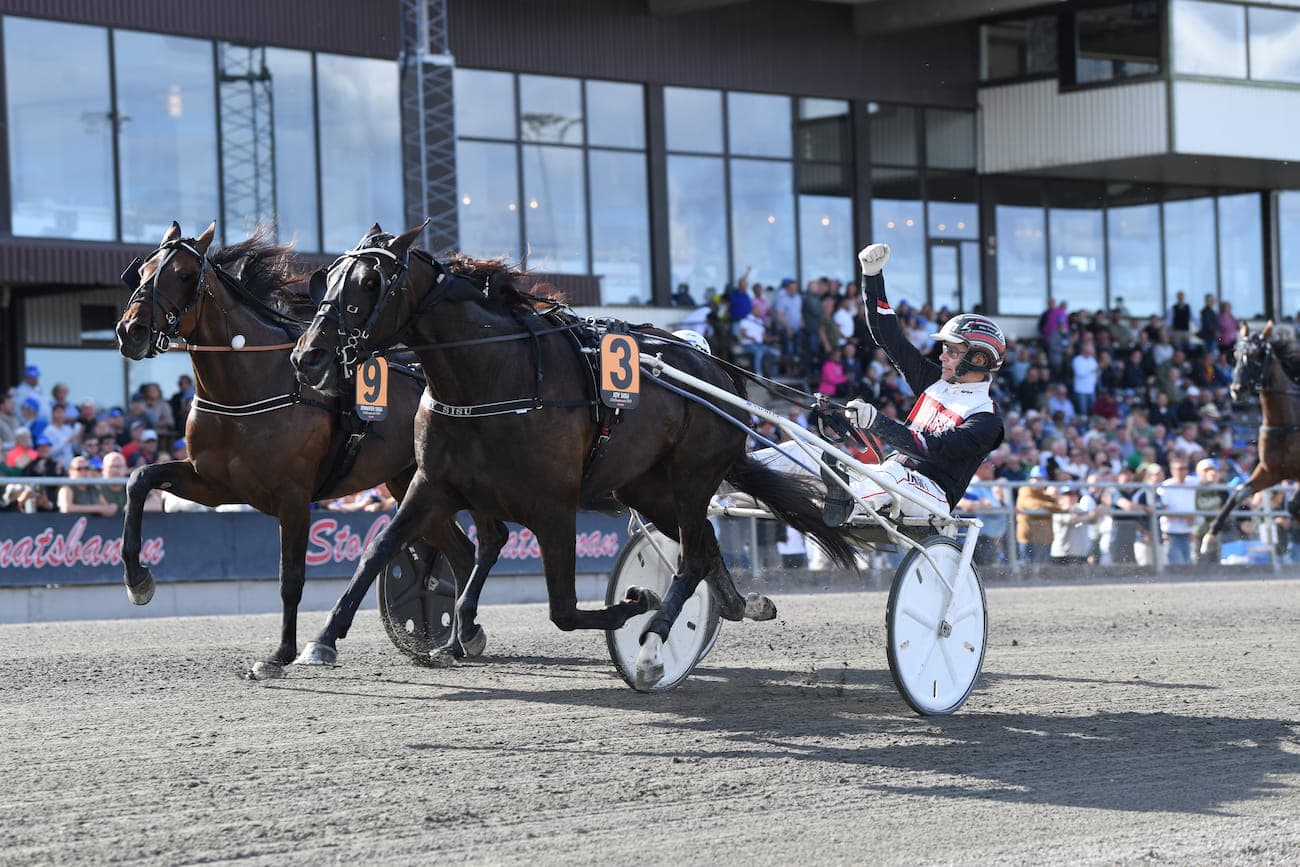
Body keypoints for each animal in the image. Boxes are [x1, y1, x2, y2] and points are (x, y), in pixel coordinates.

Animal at [115, 222, 506, 675]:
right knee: (460, 553)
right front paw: (137, 580)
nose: (130, 331)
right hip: (410, 481)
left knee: (489, 540)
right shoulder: (214, 484)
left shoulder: (293, 496)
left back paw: (464, 632)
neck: (249, 384)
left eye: (182, 274)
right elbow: (140, 479)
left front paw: (281, 655)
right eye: (143, 271)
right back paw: (455, 642)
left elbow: (291, 578)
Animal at [296, 226, 863, 691]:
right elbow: (377, 550)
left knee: (692, 556)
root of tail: (717, 374)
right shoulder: (430, 484)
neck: (493, 377)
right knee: (701, 544)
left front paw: (637, 604)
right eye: (326, 279)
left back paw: (654, 645)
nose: (308, 355)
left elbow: (564, 611)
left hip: (692, 477)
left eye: (369, 282)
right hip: (647, 488)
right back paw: (737, 604)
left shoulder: (553, 507)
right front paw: (320, 640)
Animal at [1196, 321, 1300, 556]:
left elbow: (1293, 504)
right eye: (1236, 354)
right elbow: (1239, 492)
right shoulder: (1271, 470)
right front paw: (1209, 538)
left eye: (1258, 354)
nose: (1237, 390)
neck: (1288, 423)